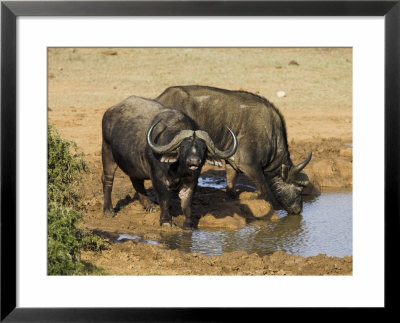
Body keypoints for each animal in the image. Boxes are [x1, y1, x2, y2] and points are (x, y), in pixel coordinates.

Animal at [101, 96, 238, 230]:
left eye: (203, 148)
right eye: (182, 147)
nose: (194, 161)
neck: (178, 170)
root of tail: (110, 111)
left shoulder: (191, 181)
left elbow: (187, 203)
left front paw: (188, 224)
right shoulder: (158, 179)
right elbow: (165, 199)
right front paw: (166, 221)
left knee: (136, 181)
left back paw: (149, 206)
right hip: (107, 151)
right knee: (107, 179)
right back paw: (108, 210)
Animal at [156, 86, 312, 215]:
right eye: (299, 188)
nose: (298, 210)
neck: (271, 135)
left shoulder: (232, 163)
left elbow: (231, 184)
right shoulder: (250, 166)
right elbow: (264, 189)